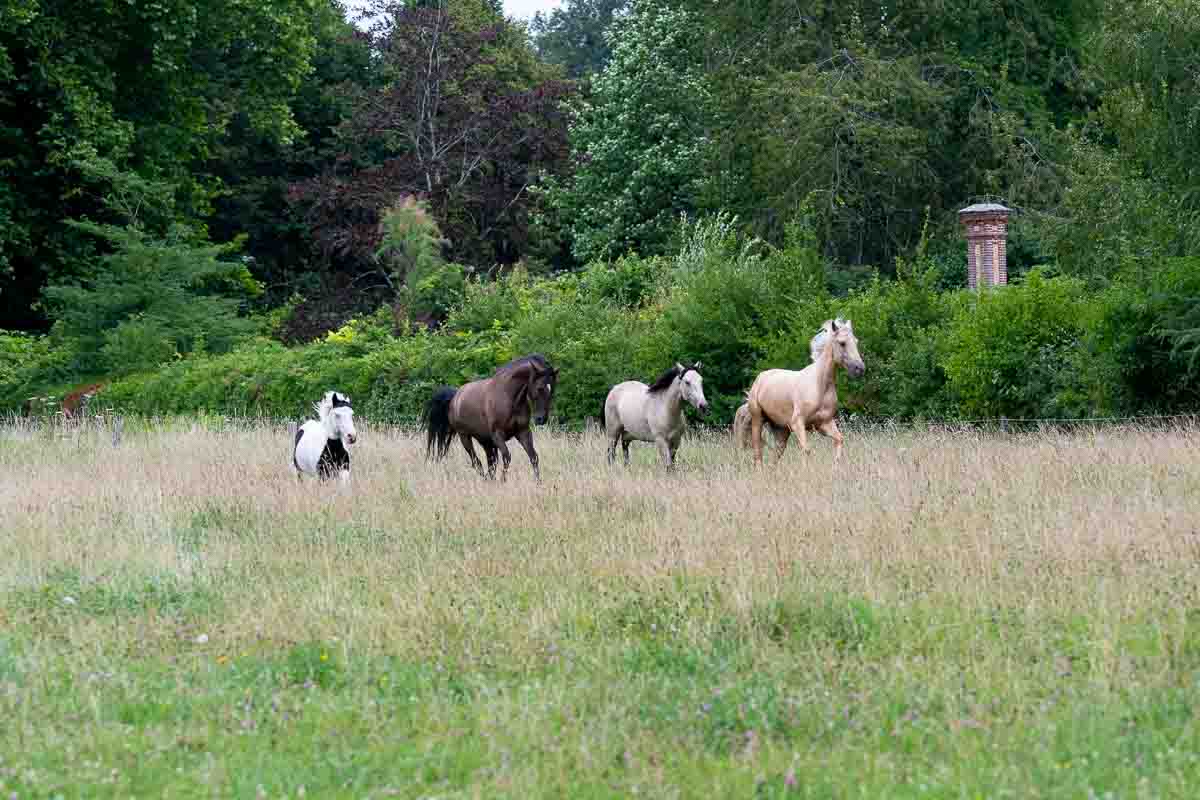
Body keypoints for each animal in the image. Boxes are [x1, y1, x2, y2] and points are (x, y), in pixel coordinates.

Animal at [424, 355, 559, 482]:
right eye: (539, 388)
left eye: (552, 389)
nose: (541, 419)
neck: (509, 397)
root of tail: (455, 397)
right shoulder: (497, 435)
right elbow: (507, 457)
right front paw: (503, 481)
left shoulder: (523, 432)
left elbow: (533, 456)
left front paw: (538, 482)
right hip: (465, 437)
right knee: (476, 461)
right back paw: (486, 479)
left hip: (485, 441)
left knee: (490, 462)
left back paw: (490, 479)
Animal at [739, 316, 864, 465]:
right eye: (842, 343)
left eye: (856, 341)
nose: (859, 369)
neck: (820, 385)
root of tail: (760, 378)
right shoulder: (798, 423)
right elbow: (806, 450)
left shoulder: (824, 423)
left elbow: (839, 439)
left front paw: (836, 465)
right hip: (758, 420)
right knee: (758, 455)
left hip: (782, 431)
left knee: (774, 458)